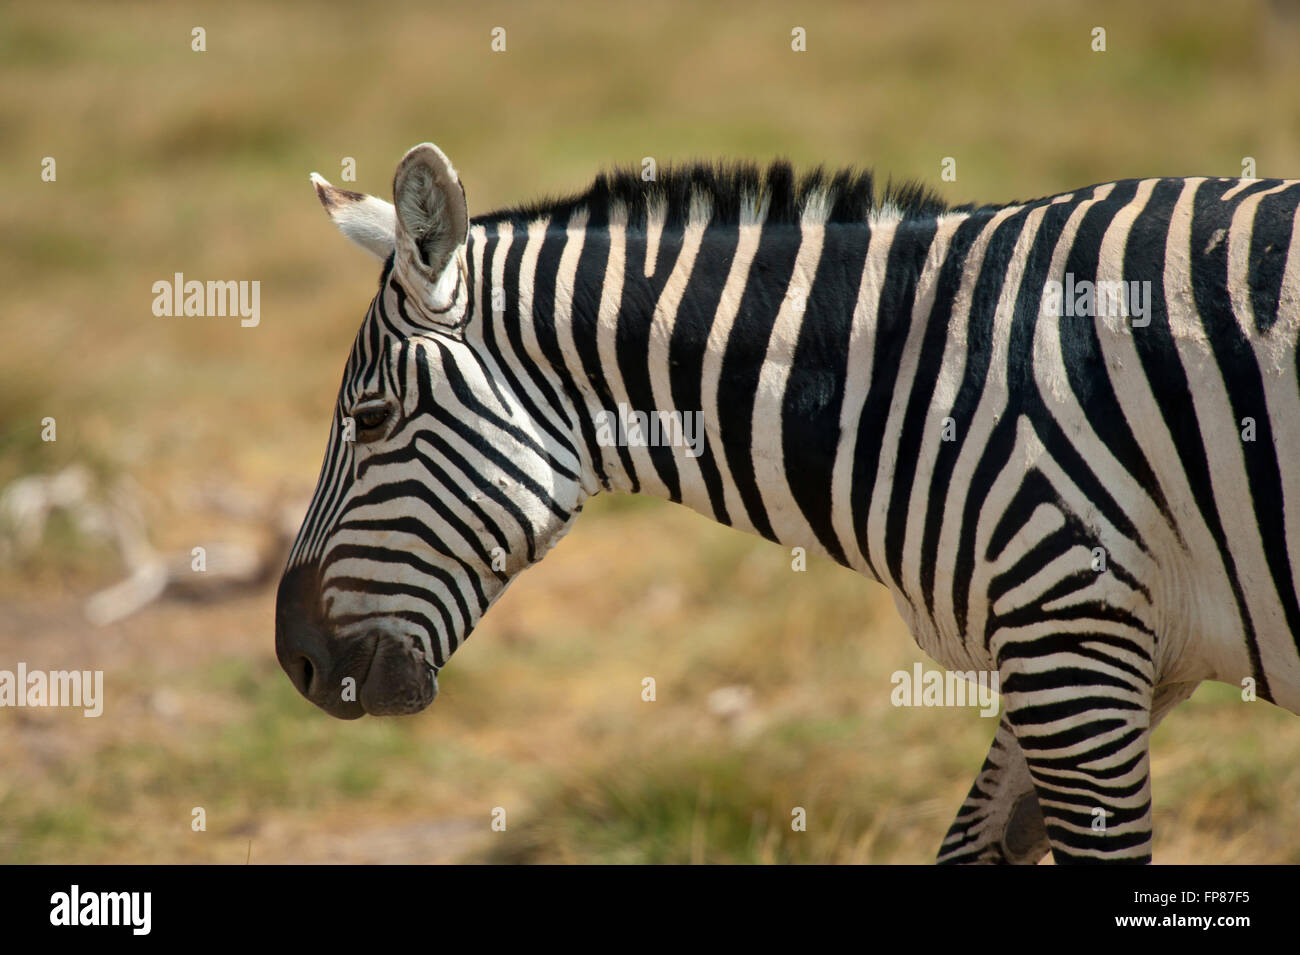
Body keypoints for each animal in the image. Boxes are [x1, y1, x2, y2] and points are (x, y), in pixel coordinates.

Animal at [279, 141, 1300, 867]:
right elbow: (970, 845)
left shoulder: (1072, 632)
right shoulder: (1088, 655)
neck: (919, 379)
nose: (295, 661)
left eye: (370, 417)